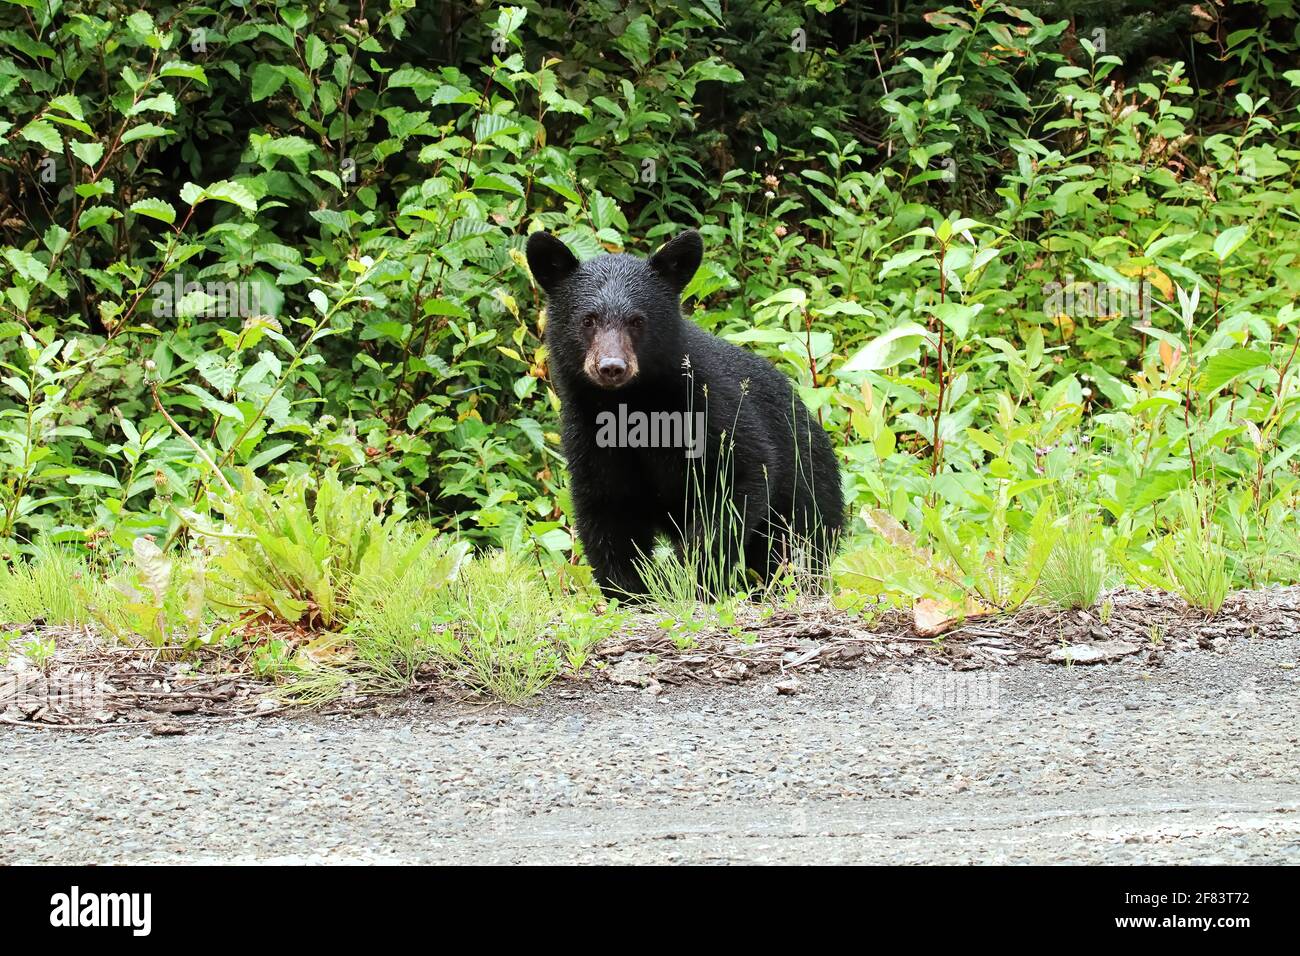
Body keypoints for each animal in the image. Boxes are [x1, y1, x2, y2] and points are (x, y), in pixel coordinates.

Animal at [526, 228, 843, 599]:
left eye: (637, 321)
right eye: (587, 320)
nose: (611, 367)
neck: (632, 407)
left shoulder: (708, 404)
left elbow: (740, 476)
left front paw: (690, 576)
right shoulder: (589, 434)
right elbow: (606, 510)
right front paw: (631, 592)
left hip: (809, 491)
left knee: (797, 541)